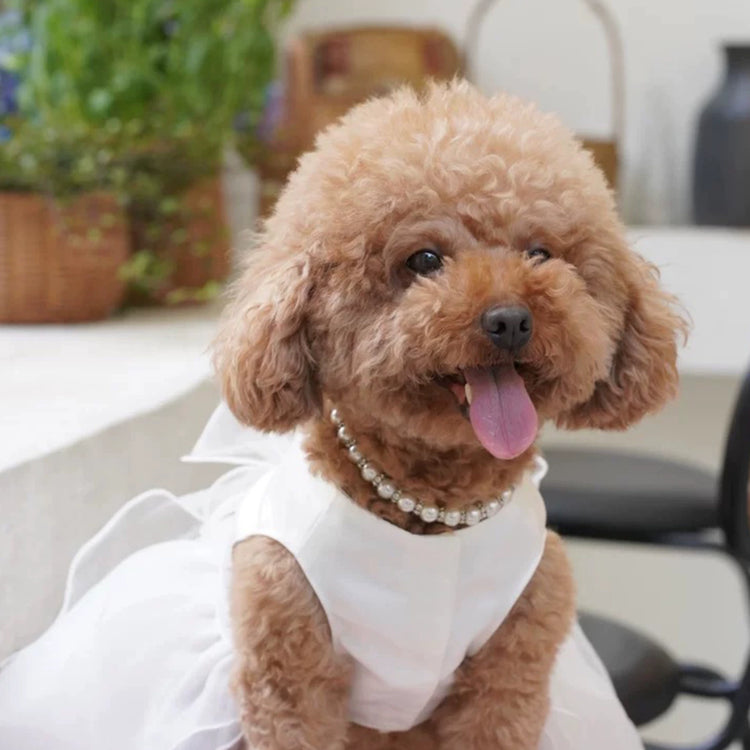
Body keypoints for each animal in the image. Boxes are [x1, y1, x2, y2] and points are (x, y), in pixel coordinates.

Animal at [213, 79, 688, 748]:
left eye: (540, 252)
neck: (434, 513)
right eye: (424, 260)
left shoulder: (509, 673)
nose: (510, 320)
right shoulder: (290, 672)